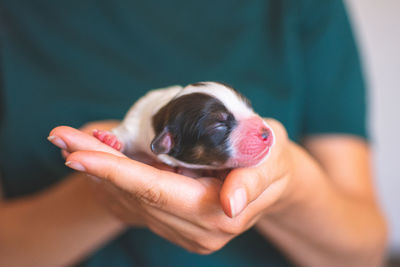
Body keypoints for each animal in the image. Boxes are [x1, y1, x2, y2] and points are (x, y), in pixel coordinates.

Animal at [94, 81, 276, 171]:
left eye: (249, 106)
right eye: (218, 126)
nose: (266, 133)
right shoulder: (135, 123)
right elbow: (125, 131)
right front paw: (109, 138)